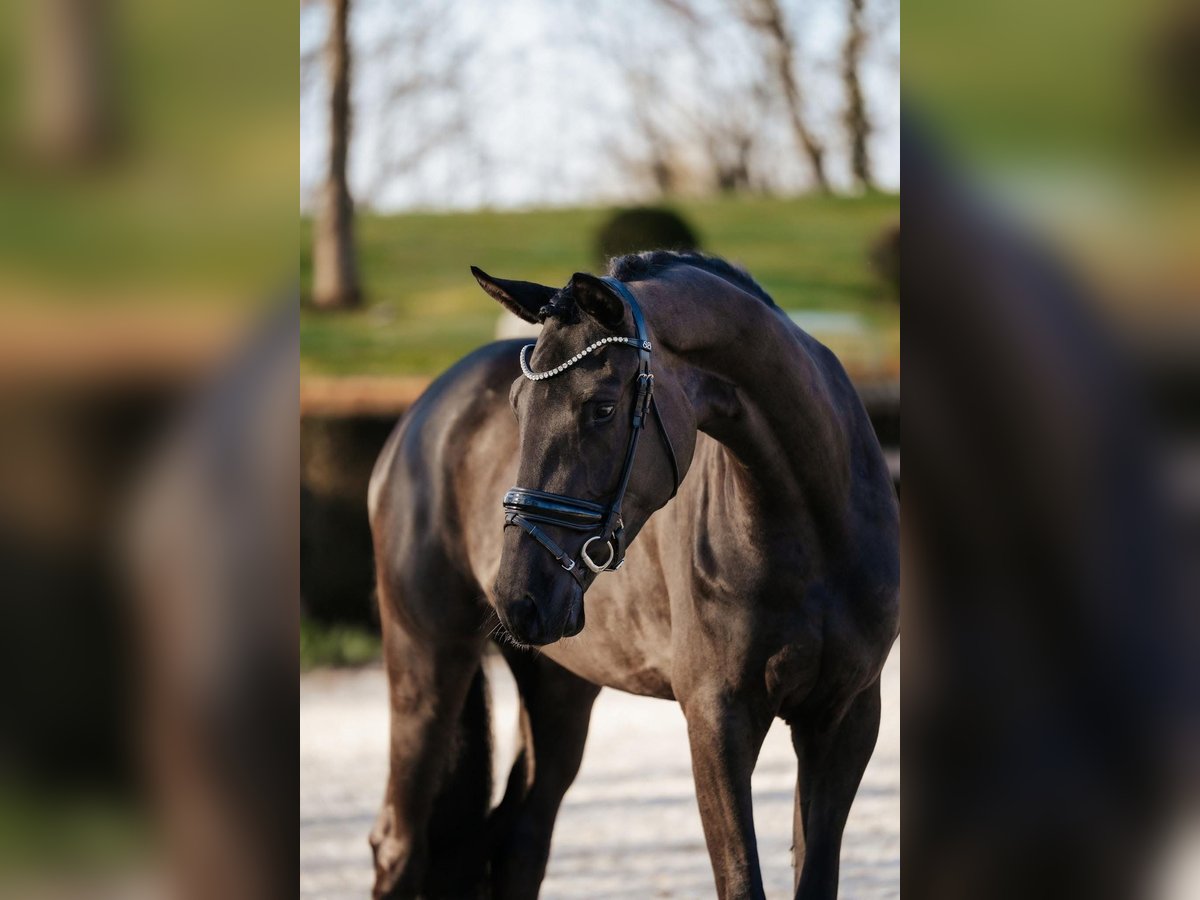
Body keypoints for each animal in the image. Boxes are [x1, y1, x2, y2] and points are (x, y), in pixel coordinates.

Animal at [367, 251, 899, 899]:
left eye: (601, 407)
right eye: (517, 405)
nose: (515, 596)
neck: (814, 528)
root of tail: (420, 417)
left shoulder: (845, 720)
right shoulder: (717, 720)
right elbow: (741, 878)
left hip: (560, 685)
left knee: (519, 838)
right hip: (426, 659)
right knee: (400, 843)